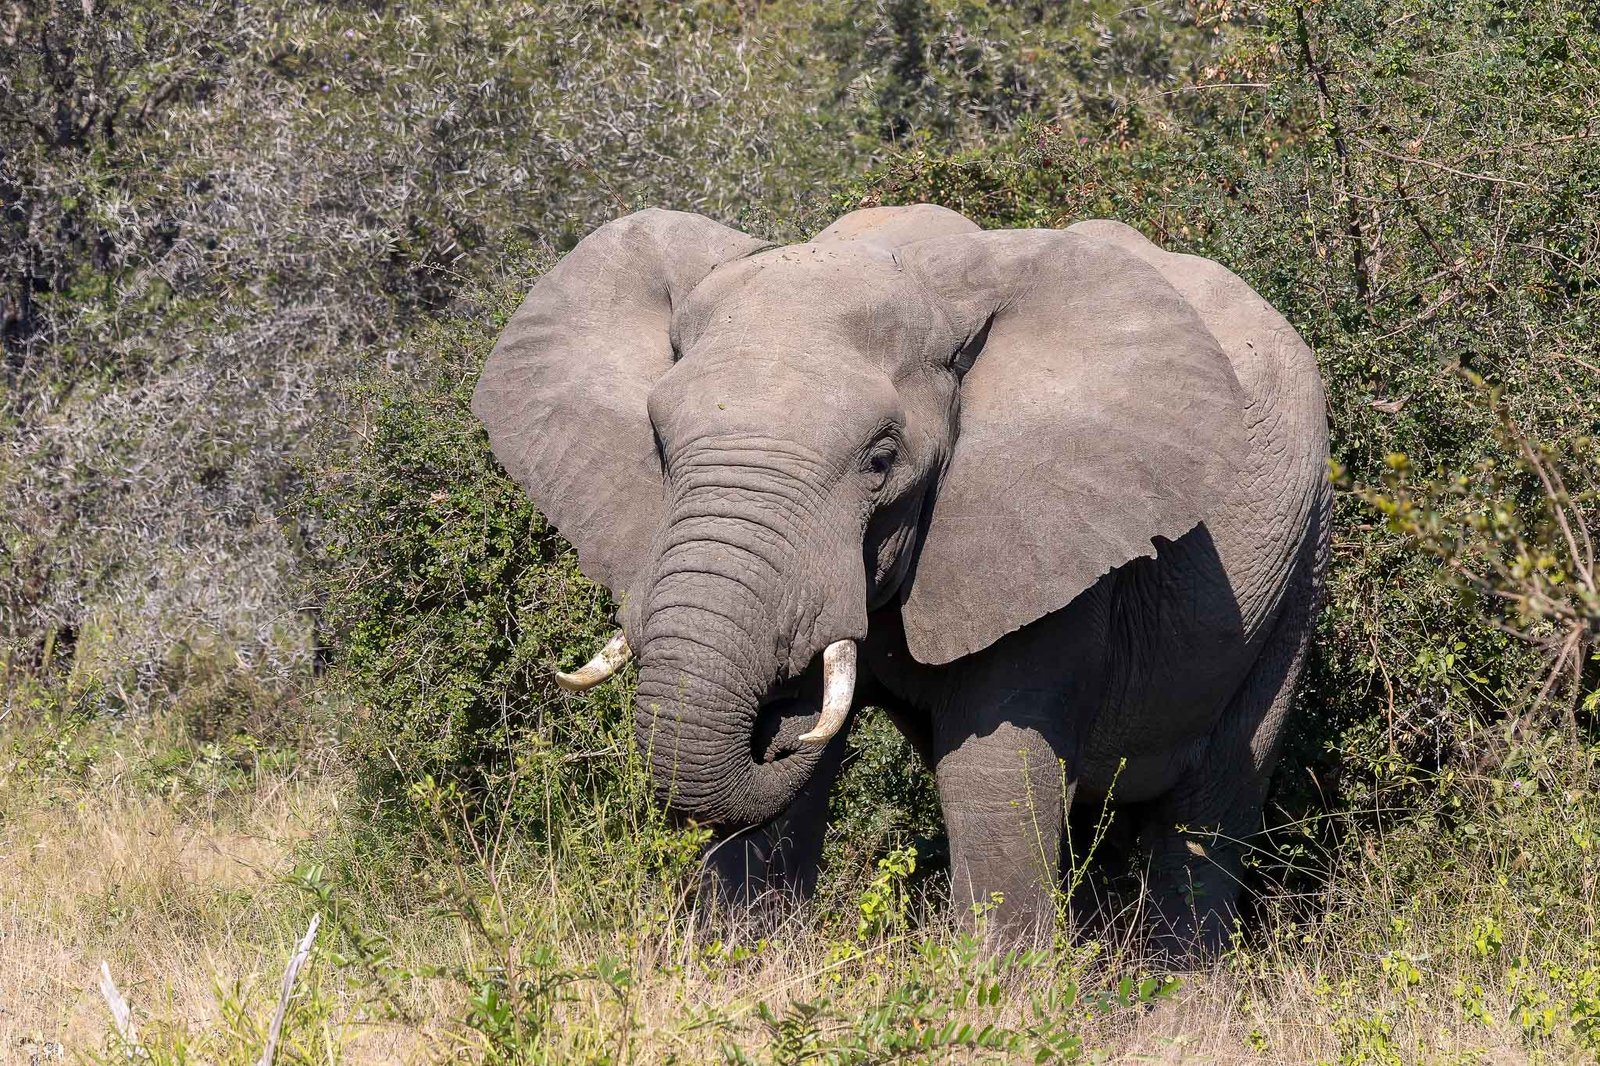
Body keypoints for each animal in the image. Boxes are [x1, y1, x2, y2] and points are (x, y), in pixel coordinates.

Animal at [472, 203, 1330, 953]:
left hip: (1299, 565)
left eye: (882, 459)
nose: (781, 737)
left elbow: (995, 773)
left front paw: (1002, 1007)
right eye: (656, 440)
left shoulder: (1048, 536)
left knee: (1210, 810)